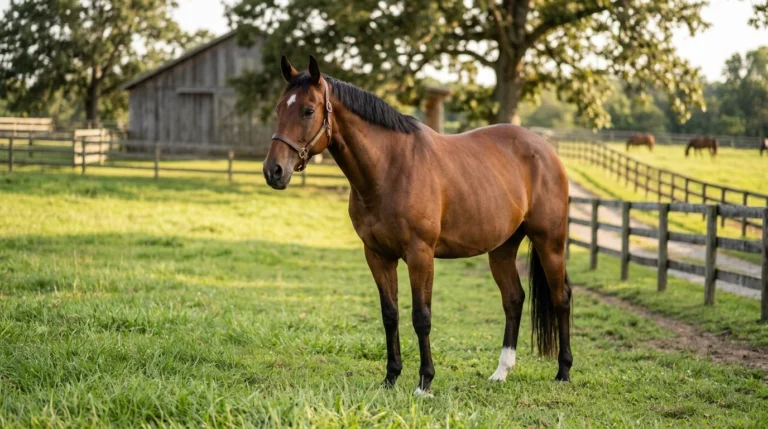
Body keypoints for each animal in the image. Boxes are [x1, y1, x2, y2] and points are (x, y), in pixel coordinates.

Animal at [262, 56, 572, 395]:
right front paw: (391, 376)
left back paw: (563, 371)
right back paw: (501, 372)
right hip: (502, 249)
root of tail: (545, 149)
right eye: (279, 109)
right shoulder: (377, 255)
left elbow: (421, 316)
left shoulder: (420, 255)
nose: (273, 170)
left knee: (561, 298)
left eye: (308, 110)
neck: (390, 168)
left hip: (550, 242)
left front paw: (425, 382)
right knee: (513, 300)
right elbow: (390, 314)